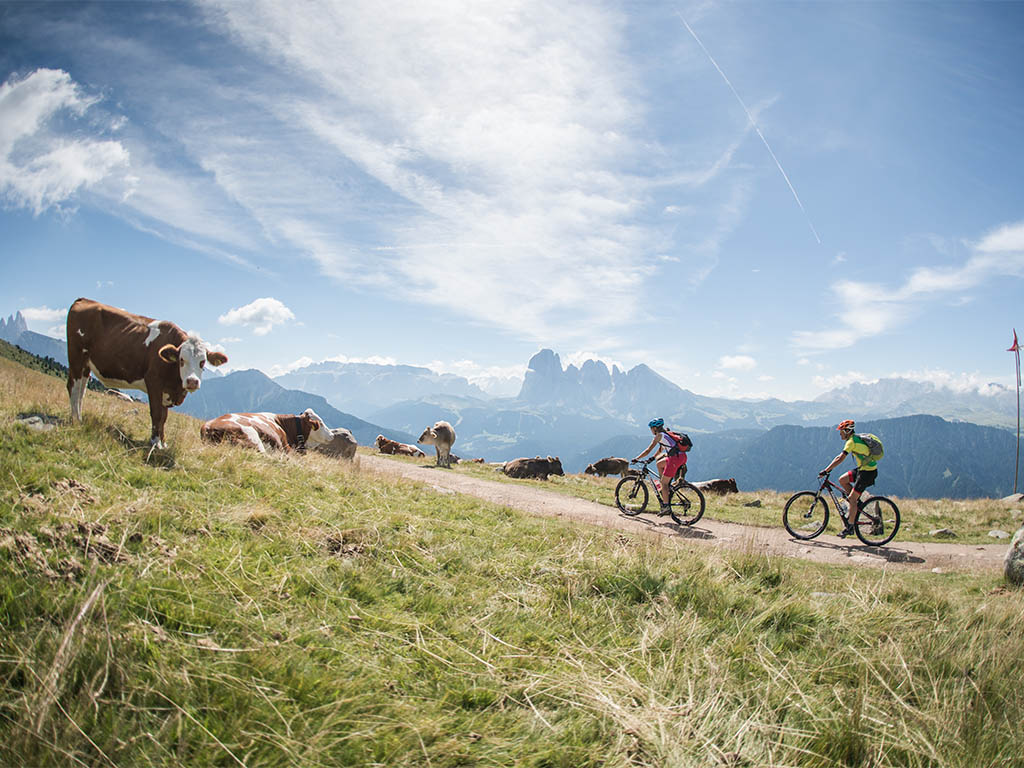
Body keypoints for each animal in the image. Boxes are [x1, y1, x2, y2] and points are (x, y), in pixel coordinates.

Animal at [68, 296, 228, 448]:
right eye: (181, 360)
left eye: (203, 362)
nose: (192, 381)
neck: (175, 385)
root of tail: (84, 299)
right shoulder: (154, 381)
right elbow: (156, 414)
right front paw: (155, 442)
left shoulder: (165, 392)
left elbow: (164, 418)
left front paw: (163, 442)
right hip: (76, 355)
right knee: (73, 387)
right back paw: (76, 420)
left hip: (86, 365)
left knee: (81, 390)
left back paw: (80, 418)